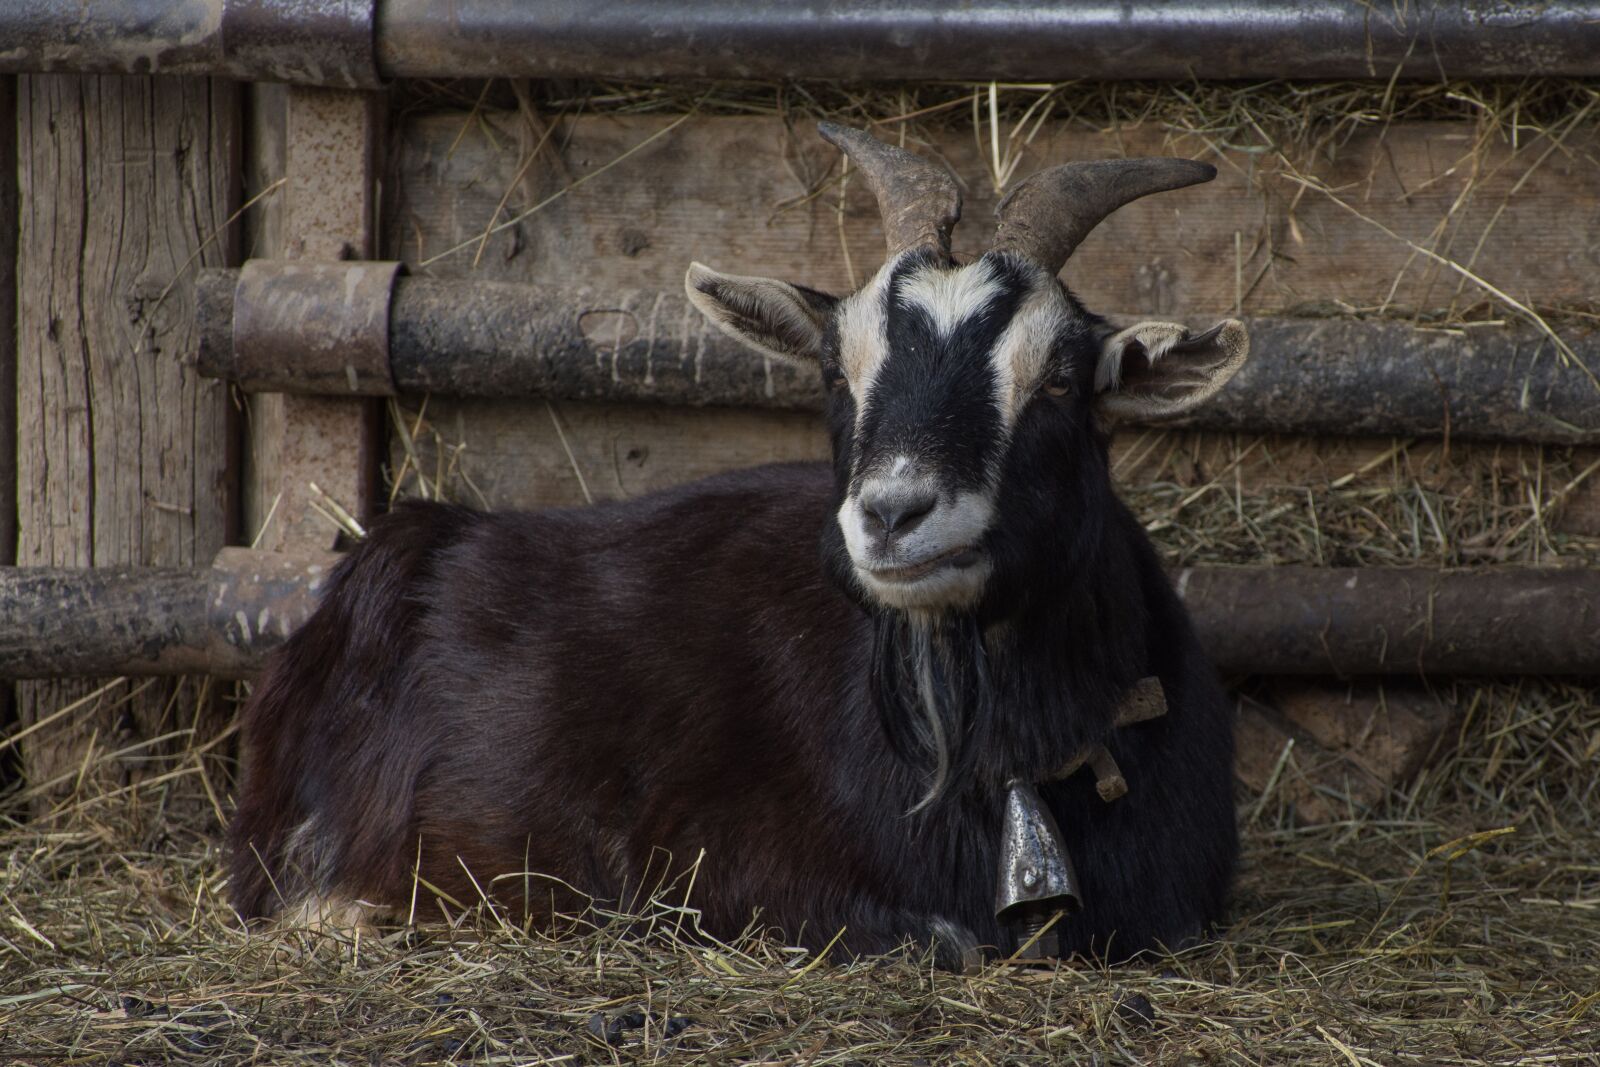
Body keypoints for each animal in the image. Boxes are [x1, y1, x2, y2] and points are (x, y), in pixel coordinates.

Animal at [230, 123, 1247, 966]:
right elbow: (948, 938)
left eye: (1063, 379)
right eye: (837, 369)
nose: (892, 512)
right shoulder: (716, 874)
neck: (1002, 759)